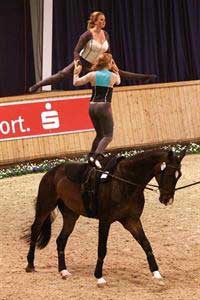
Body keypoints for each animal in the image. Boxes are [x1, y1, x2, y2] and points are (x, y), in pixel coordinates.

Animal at [24, 149, 186, 284]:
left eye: (179, 175)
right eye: (169, 174)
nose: (167, 200)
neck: (124, 180)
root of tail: (51, 172)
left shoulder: (132, 220)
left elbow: (146, 244)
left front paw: (156, 273)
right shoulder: (105, 221)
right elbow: (102, 248)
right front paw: (99, 276)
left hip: (71, 216)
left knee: (61, 240)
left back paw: (63, 271)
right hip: (45, 207)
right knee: (35, 230)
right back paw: (30, 265)